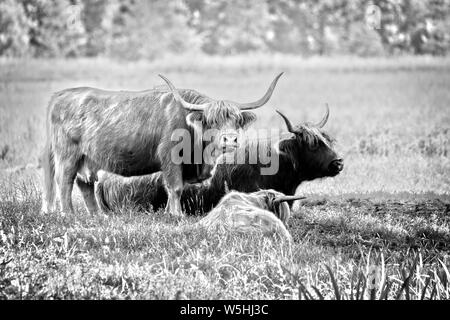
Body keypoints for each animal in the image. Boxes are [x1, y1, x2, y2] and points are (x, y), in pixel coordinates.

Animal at [41, 74, 282, 216]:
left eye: (236, 120)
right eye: (212, 121)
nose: (230, 139)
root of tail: (60, 95)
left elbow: (173, 189)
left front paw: (168, 213)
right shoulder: (170, 157)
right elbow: (175, 187)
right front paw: (177, 215)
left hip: (86, 159)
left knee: (85, 184)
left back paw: (97, 216)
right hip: (67, 156)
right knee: (64, 181)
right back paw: (69, 214)